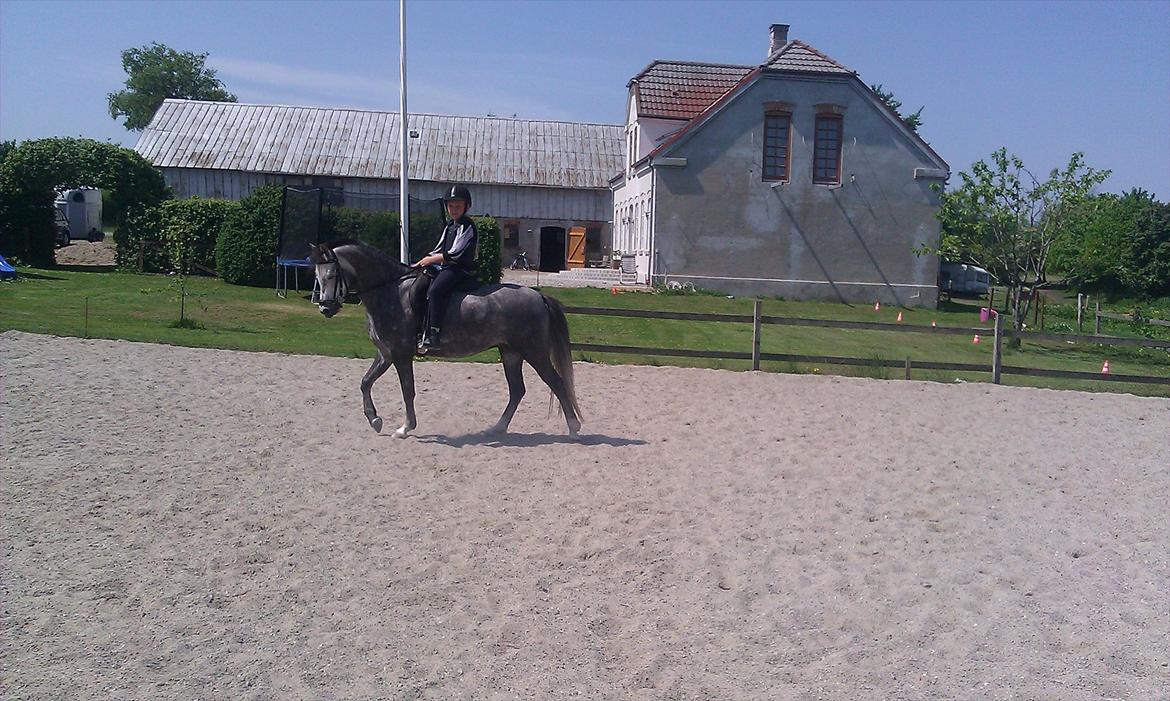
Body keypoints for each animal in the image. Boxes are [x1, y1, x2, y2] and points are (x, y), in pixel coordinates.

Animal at [308, 240, 582, 438]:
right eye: (317, 276)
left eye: (332, 275)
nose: (326, 308)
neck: (390, 291)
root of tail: (538, 296)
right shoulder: (386, 354)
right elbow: (365, 382)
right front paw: (375, 420)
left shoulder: (400, 355)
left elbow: (407, 390)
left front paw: (404, 428)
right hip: (510, 353)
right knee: (517, 391)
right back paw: (497, 428)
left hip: (534, 353)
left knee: (556, 383)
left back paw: (573, 428)